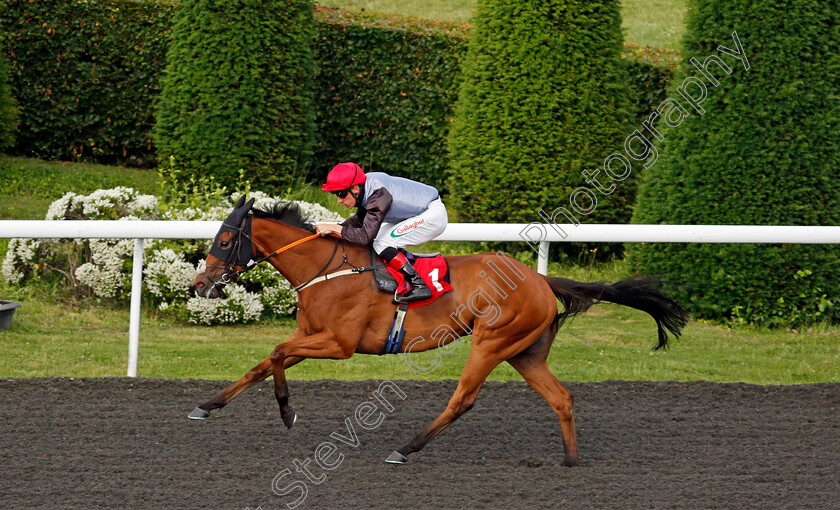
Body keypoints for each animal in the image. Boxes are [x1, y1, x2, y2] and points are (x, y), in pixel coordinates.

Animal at [187, 196, 684, 466]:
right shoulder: (313, 337)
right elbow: (263, 363)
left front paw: (288, 411)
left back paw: (405, 449)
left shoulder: (339, 344)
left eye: (226, 240)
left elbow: (273, 353)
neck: (326, 268)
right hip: (524, 352)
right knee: (561, 398)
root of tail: (542, 281)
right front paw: (207, 406)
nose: (200, 285)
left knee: (462, 399)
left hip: (491, 342)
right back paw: (570, 460)